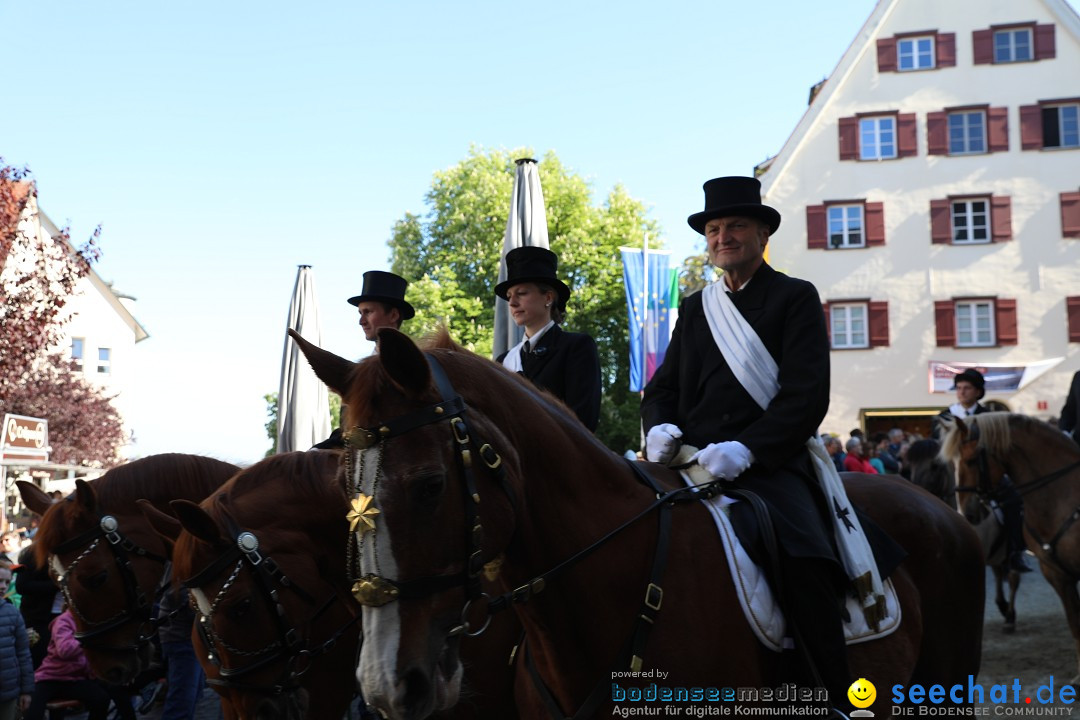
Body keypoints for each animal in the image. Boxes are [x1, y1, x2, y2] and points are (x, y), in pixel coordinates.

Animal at [941, 414, 1080, 677]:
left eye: (971, 460)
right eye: (950, 465)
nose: (969, 513)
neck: (1060, 497)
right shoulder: (1056, 574)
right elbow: (1075, 626)